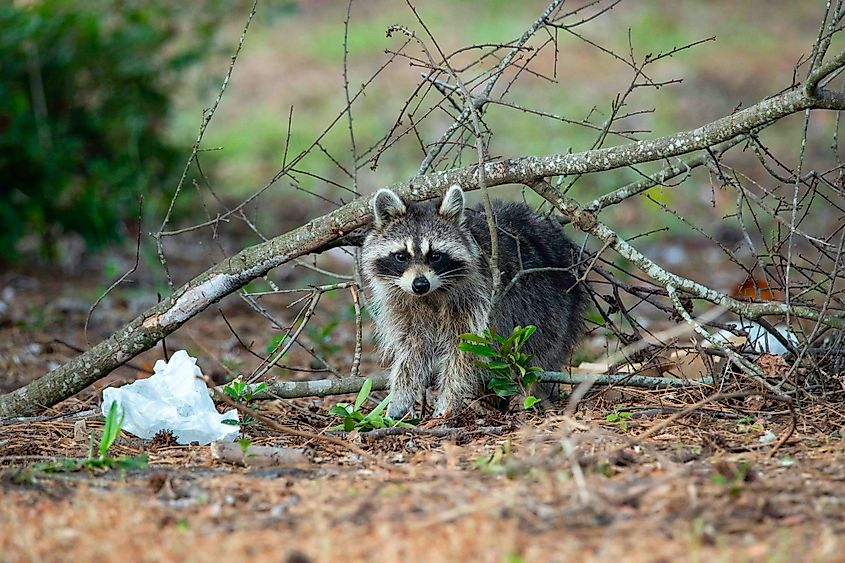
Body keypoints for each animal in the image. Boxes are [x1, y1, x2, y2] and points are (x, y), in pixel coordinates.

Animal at [362, 185, 588, 418]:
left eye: (435, 256)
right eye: (401, 256)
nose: (420, 284)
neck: (430, 295)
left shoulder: (477, 300)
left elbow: (464, 350)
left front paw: (448, 400)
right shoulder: (402, 306)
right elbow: (412, 349)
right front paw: (401, 394)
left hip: (551, 309)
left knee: (541, 350)